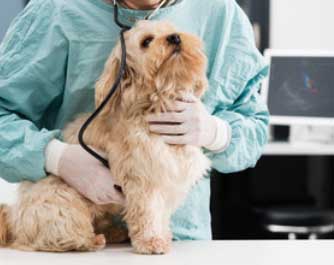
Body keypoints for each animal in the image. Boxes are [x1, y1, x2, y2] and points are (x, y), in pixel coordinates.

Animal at [0, 20, 211, 254]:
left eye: (172, 29)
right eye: (147, 41)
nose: (175, 37)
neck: (155, 103)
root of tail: (14, 223)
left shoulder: (169, 178)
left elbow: (162, 215)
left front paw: (163, 235)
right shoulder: (142, 178)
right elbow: (148, 213)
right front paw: (151, 241)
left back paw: (114, 233)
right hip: (63, 202)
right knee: (59, 237)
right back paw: (91, 240)